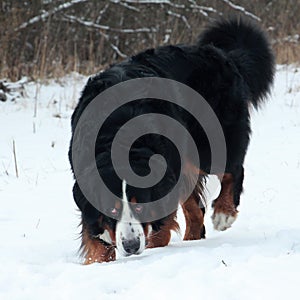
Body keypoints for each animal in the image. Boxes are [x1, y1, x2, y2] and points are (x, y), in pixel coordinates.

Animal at [69, 17, 276, 264]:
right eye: (112, 210)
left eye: (141, 207)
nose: (131, 246)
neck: (118, 137)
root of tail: (220, 54)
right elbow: (96, 237)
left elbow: (160, 226)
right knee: (195, 208)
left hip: (210, 141)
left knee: (233, 169)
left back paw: (223, 213)